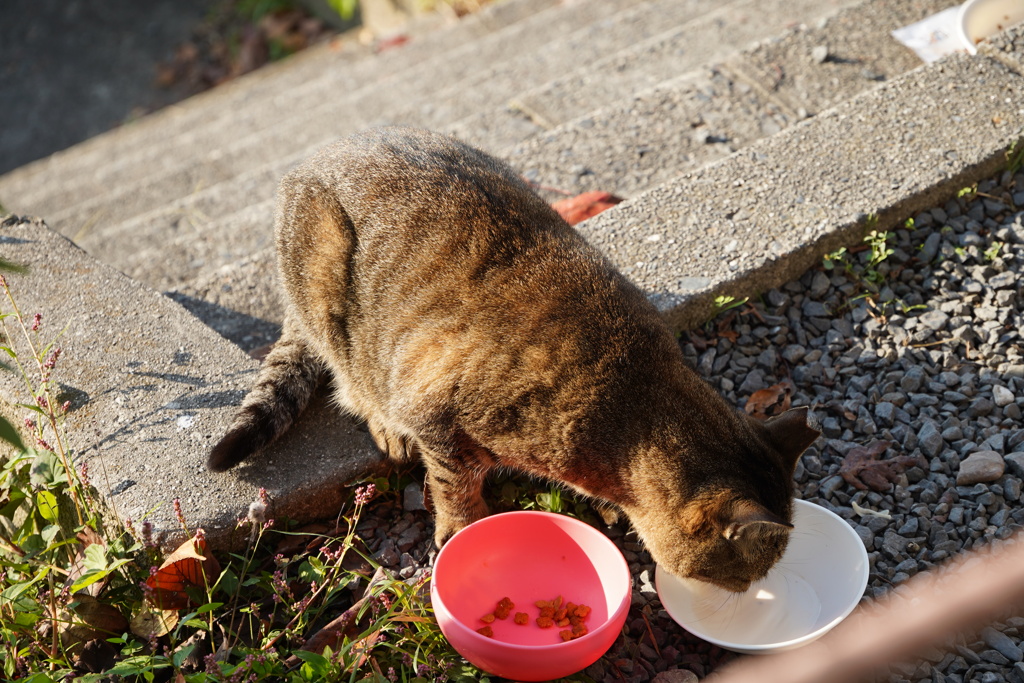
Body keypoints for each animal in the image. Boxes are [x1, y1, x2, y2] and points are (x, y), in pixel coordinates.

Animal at [211, 126, 819, 593]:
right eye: (742, 574)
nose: (749, 593)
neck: (633, 397)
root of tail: (319, 153)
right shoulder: (438, 413)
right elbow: (453, 485)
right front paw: (458, 529)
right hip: (325, 286)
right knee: (348, 379)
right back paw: (385, 425)